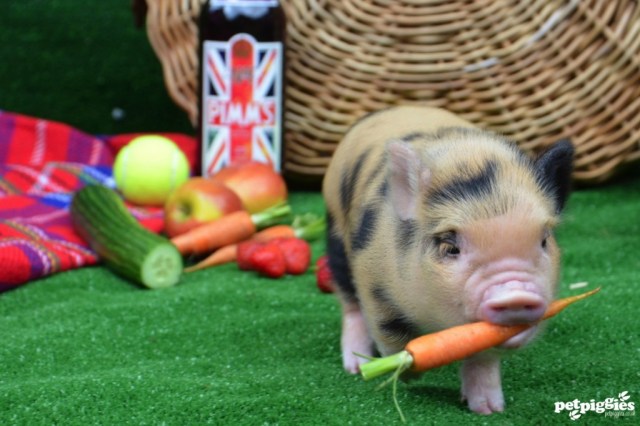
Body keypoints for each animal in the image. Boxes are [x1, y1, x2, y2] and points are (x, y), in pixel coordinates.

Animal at [322, 106, 574, 414]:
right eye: (450, 247)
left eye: (544, 240)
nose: (515, 293)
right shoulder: (372, 278)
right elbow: (389, 331)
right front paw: (409, 375)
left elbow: (483, 354)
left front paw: (489, 409)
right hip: (336, 233)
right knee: (349, 302)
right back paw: (357, 367)